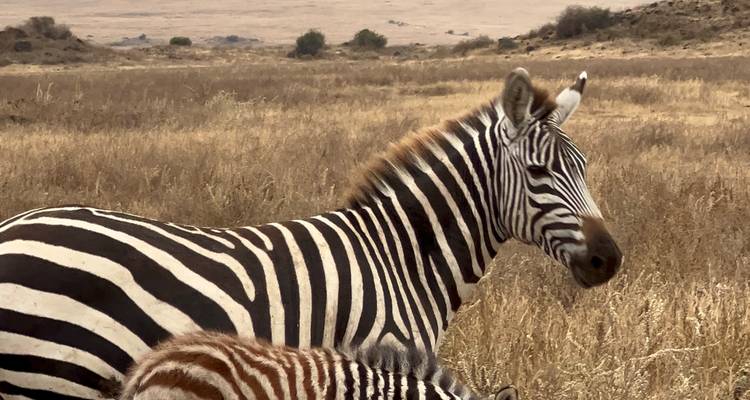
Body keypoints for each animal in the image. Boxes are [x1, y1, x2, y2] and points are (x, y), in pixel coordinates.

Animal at [0, 67, 621, 399]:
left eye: (585, 166)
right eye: (539, 173)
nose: (609, 260)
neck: (401, 259)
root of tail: (13, 227)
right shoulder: (375, 364)